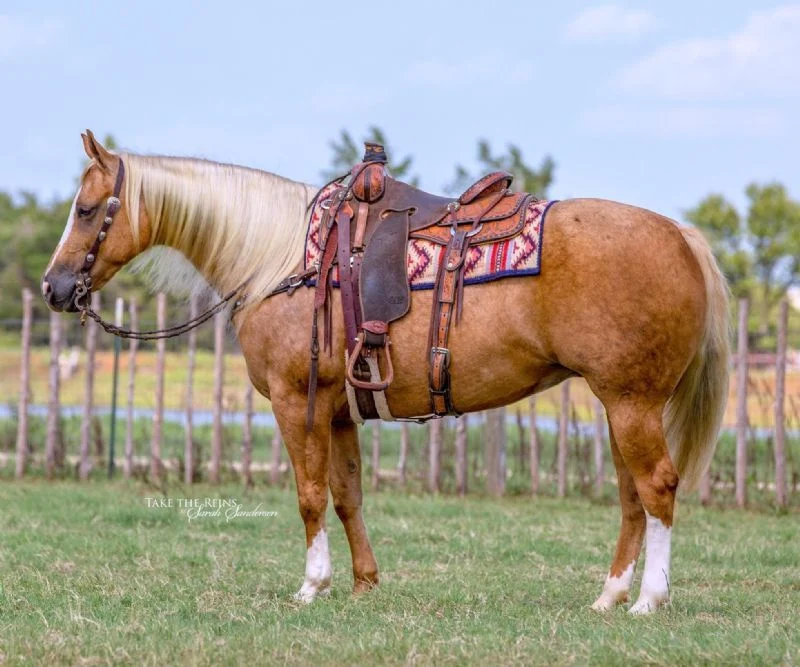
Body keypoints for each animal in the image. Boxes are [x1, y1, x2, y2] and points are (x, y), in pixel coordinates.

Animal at [42, 131, 730, 614]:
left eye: (86, 209)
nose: (54, 287)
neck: (280, 259)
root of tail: (679, 234)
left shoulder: (295, 402)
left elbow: (309, 495)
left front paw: (312, 585)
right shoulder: (339, 411)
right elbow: (347, 495)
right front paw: (364, 583)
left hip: (632, 403)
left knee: (658, 487)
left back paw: (649, 600)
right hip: (617, 405)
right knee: (631, 496)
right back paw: (610, 596)